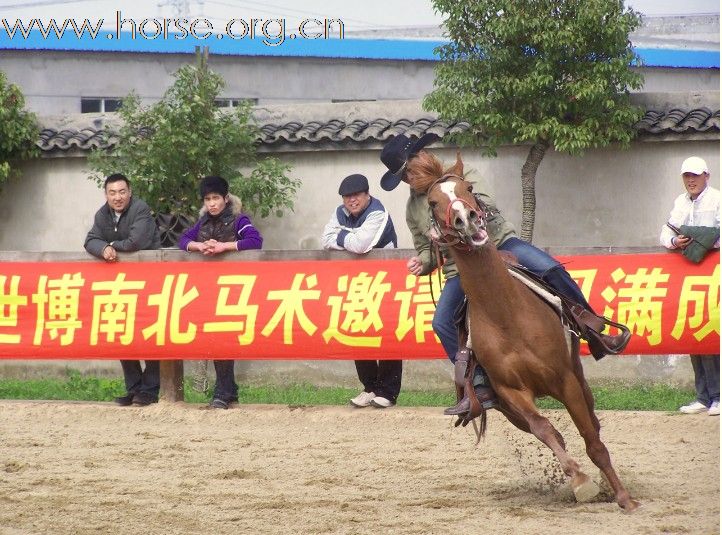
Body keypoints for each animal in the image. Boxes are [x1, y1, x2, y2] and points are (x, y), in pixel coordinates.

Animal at [424, 170, 640, 512]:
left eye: (468, 188)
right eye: (433, 202)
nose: (466, 220)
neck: (506, 313)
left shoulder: (565, 381)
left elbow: (593, 442)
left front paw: (623, 498)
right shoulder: (512, 393)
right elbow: (545, 429)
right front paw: (581, 481)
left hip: (579, 379)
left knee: (593, 425)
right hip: (508, 411)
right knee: (552, 433)